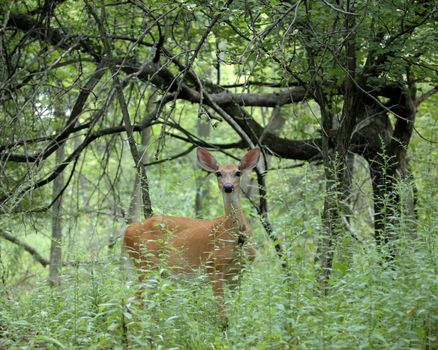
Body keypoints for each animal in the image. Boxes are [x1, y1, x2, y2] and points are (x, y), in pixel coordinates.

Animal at [122, 147, 260, 326]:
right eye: (218, 173)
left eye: (238, 172)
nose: (228, 187)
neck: (234, 234)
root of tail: (127, 231)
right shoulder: (213, 266)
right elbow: (223, 315)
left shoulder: (237, 272)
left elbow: (236, 308)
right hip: (145, 264)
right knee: (136, 304)